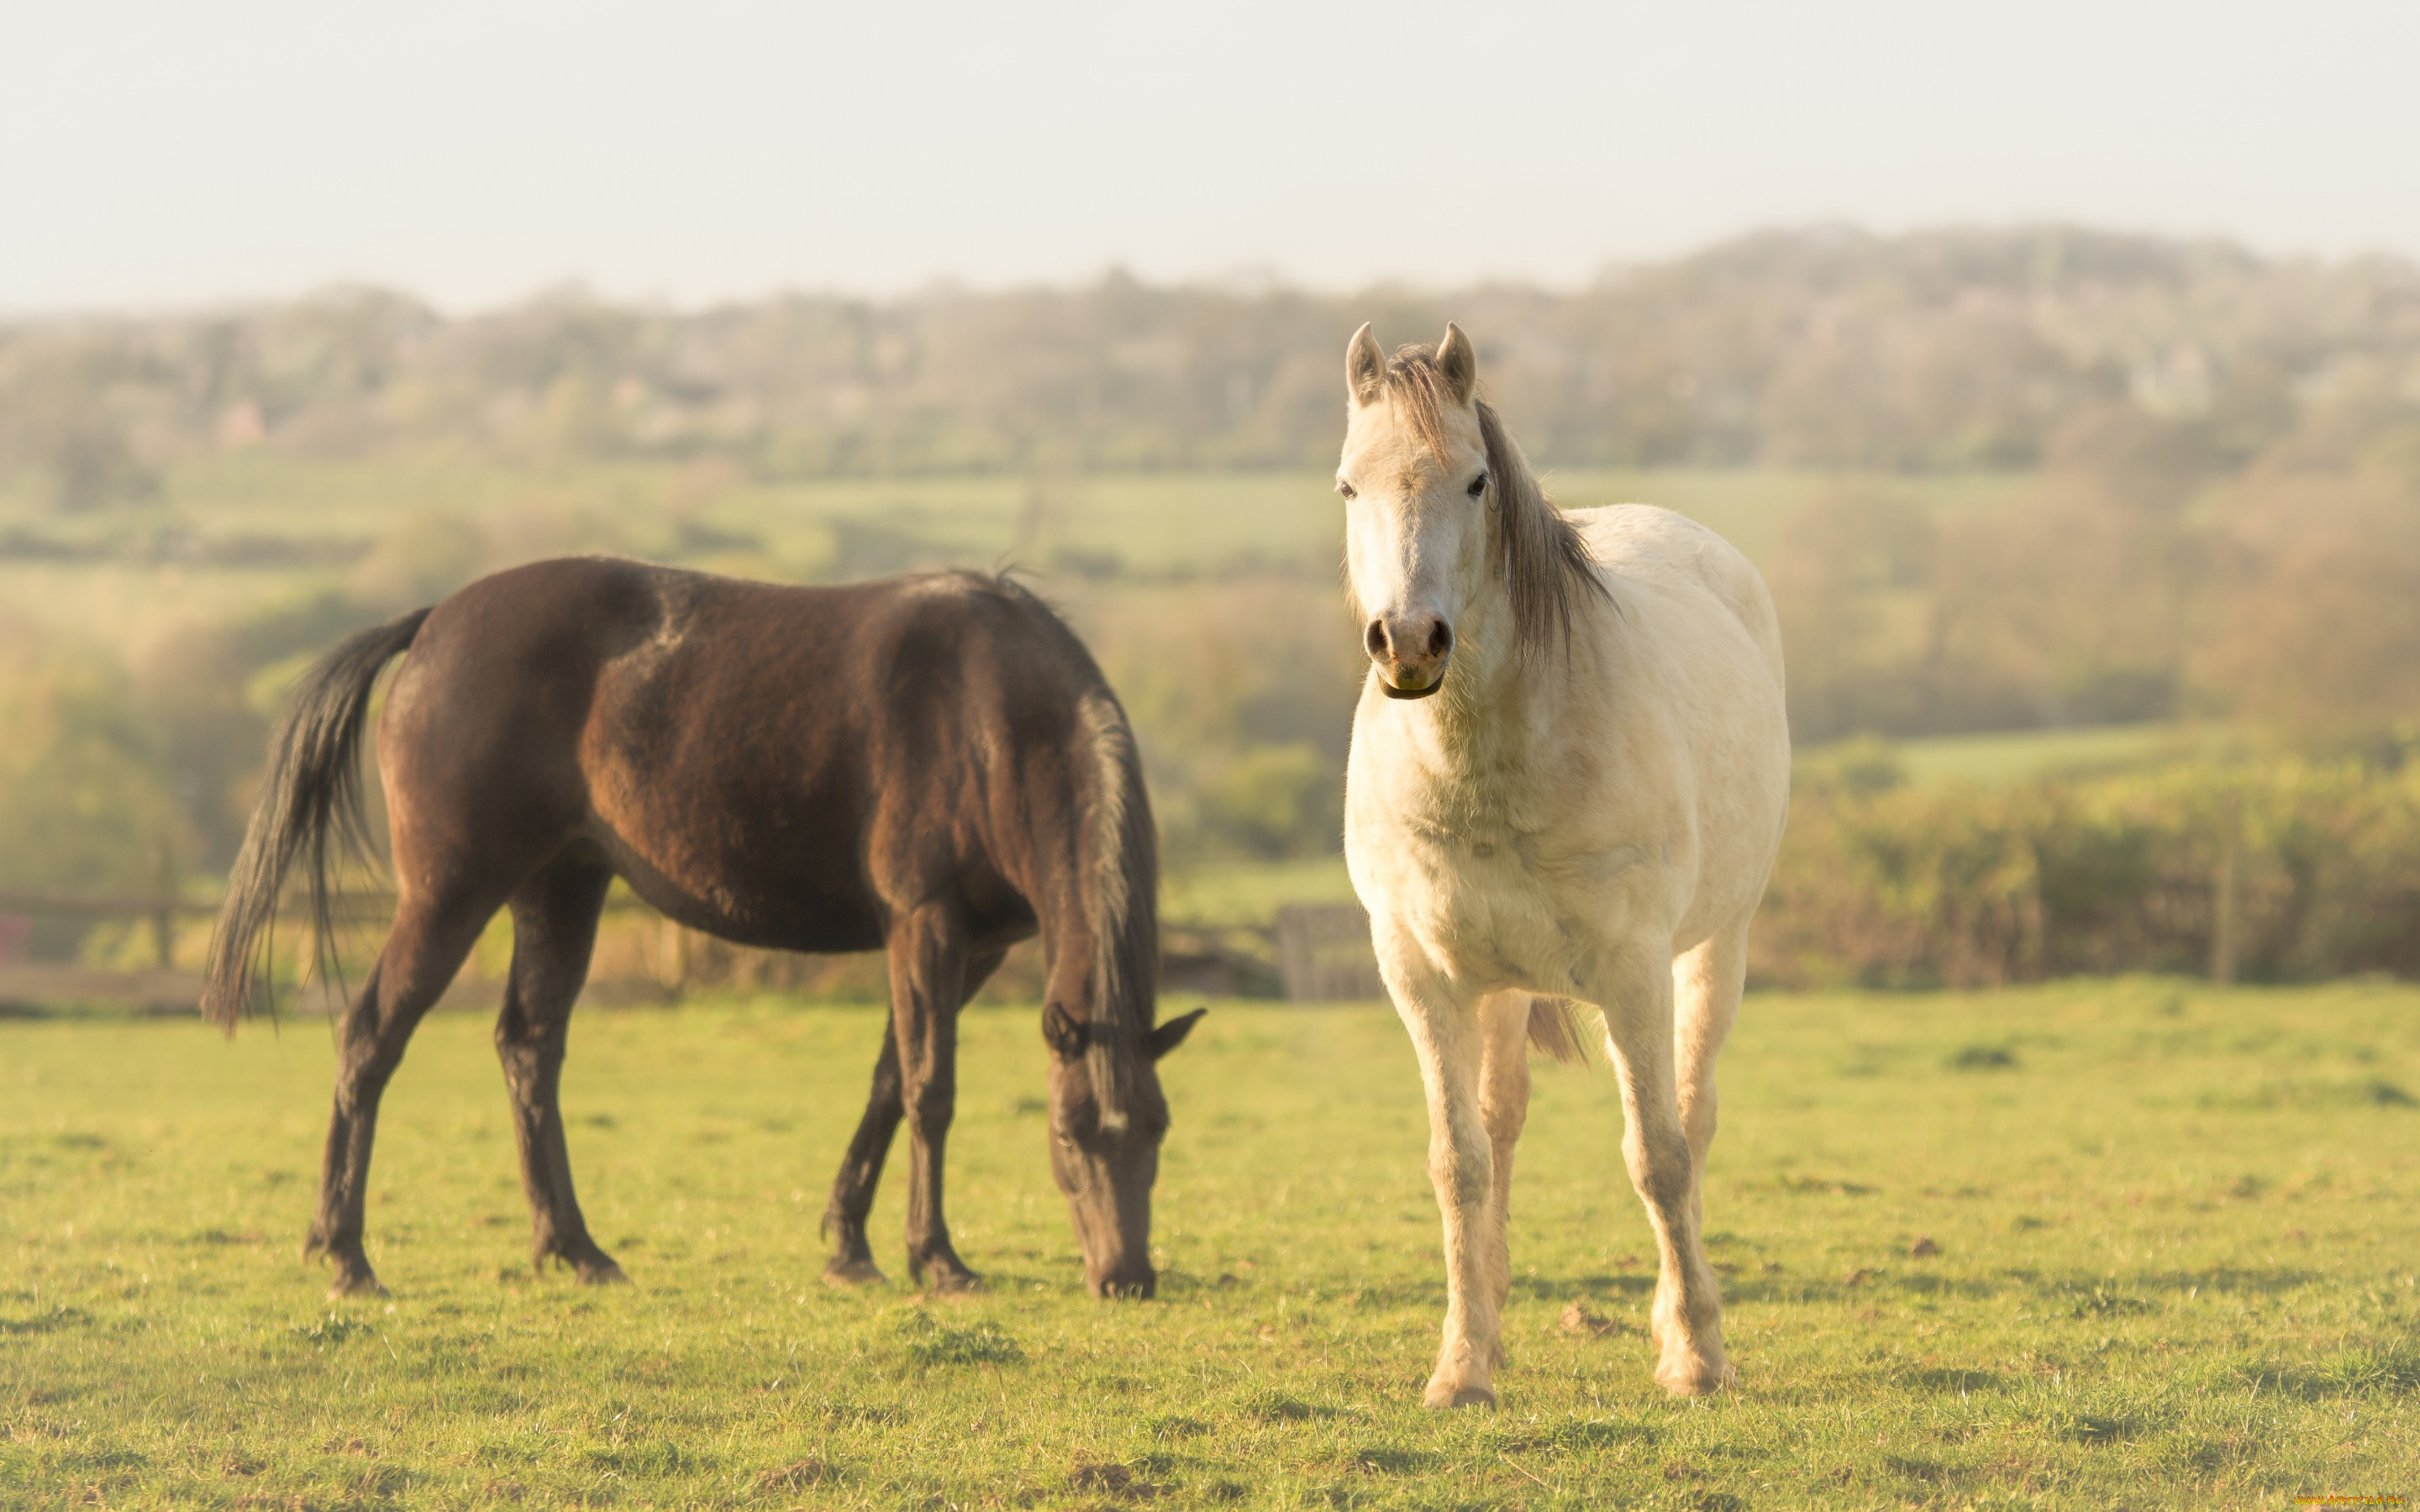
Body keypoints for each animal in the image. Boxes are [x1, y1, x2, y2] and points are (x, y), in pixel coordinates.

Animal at [205, 554, 1200, 1296]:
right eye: (1068, 1135)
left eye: (1157, 1129)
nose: (1126, 1277)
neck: (991, 715)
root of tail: (435, 621)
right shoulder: (925, 926)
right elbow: (929, 1089)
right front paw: (937, 1259)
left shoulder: (977, 948)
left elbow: (888, 1081)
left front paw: (850, 1247)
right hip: (451, 894)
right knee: (371, 1039)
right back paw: (346, 1254)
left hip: (560, 887)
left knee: (529, 1047)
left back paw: (573, 1249)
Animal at [1335, 322, 1791, 1403]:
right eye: (1348, 486)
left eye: (1474, 482)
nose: (1408, 641)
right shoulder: (1421, 977)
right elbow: (1459, 1162)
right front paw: (1462, 1367)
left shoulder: (1632, 971)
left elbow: (1659, 1155)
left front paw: (1698, 1357)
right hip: (1499, 987)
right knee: (1500, 1128)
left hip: (1715, 947)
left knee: (1693, 1115)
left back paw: (1678, 1325)